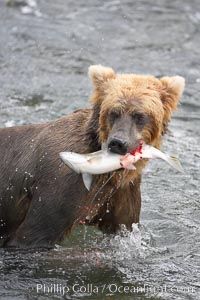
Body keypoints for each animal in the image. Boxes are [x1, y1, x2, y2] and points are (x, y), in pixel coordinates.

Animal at [0, 64, 185, 247]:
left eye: (139, 115)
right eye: (113, 112)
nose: (118, 143)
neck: (109, 174)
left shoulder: (121, 192)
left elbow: (124, 224)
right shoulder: (60, 184)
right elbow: (34, 233)